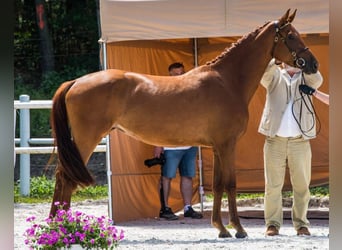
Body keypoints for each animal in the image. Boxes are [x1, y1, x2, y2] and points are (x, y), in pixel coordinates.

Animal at [50, 10, 318, 238]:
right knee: (65, 177)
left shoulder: (216, 147)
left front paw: (221, 228)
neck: (228, 81)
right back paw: (60, 228)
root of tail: (76, 82)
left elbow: (218, 185)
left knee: (62, 177)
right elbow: (231, 184)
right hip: (86, 140)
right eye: (291, 36)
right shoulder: (227, 145)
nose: (313, 64)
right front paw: (239, 229)